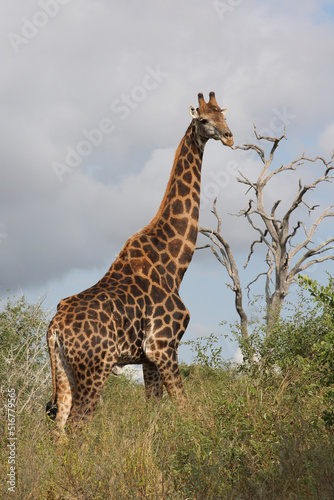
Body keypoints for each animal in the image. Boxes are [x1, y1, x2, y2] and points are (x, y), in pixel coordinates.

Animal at [45, 93, 234, 430]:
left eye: (224, 115)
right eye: (203, 120)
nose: (229, 137)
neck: (174, 265)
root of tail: (54, 327)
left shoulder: (147, 358)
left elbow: (153, 415)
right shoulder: (164, 346)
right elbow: (184, 409)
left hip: (65, 372)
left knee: (60, 428)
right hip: (95, 368)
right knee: (78, 426)